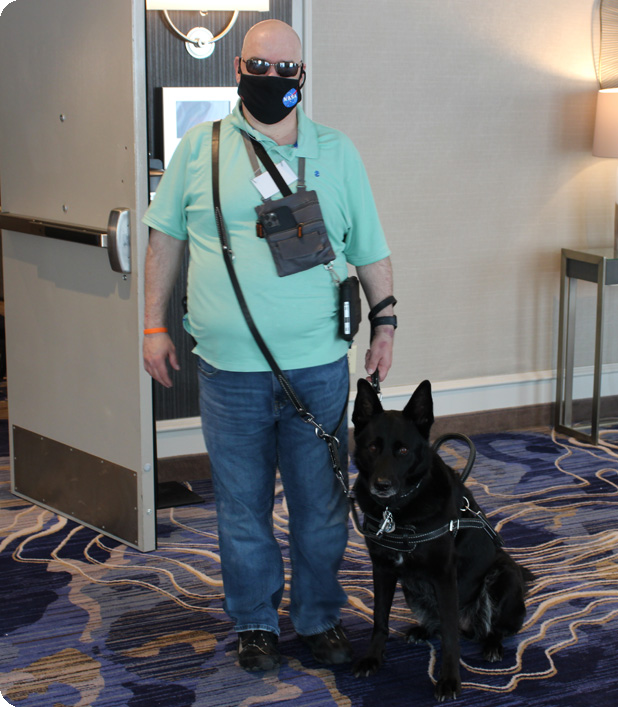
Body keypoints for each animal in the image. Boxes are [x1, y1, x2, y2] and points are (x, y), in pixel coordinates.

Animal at [348, 378, 532, 700]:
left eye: (403, 450)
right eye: (372, 447)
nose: (381, 486)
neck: (397, 511)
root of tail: (470, 626)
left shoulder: (444, 576)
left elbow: (449, 637)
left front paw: (448, 680)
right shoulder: (382, 569)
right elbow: (379, 620)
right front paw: (373, 658)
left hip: (504, 575)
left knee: (492, 627)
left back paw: (492, 644)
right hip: (412, 589)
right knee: (440, 623)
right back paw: (422, 630)